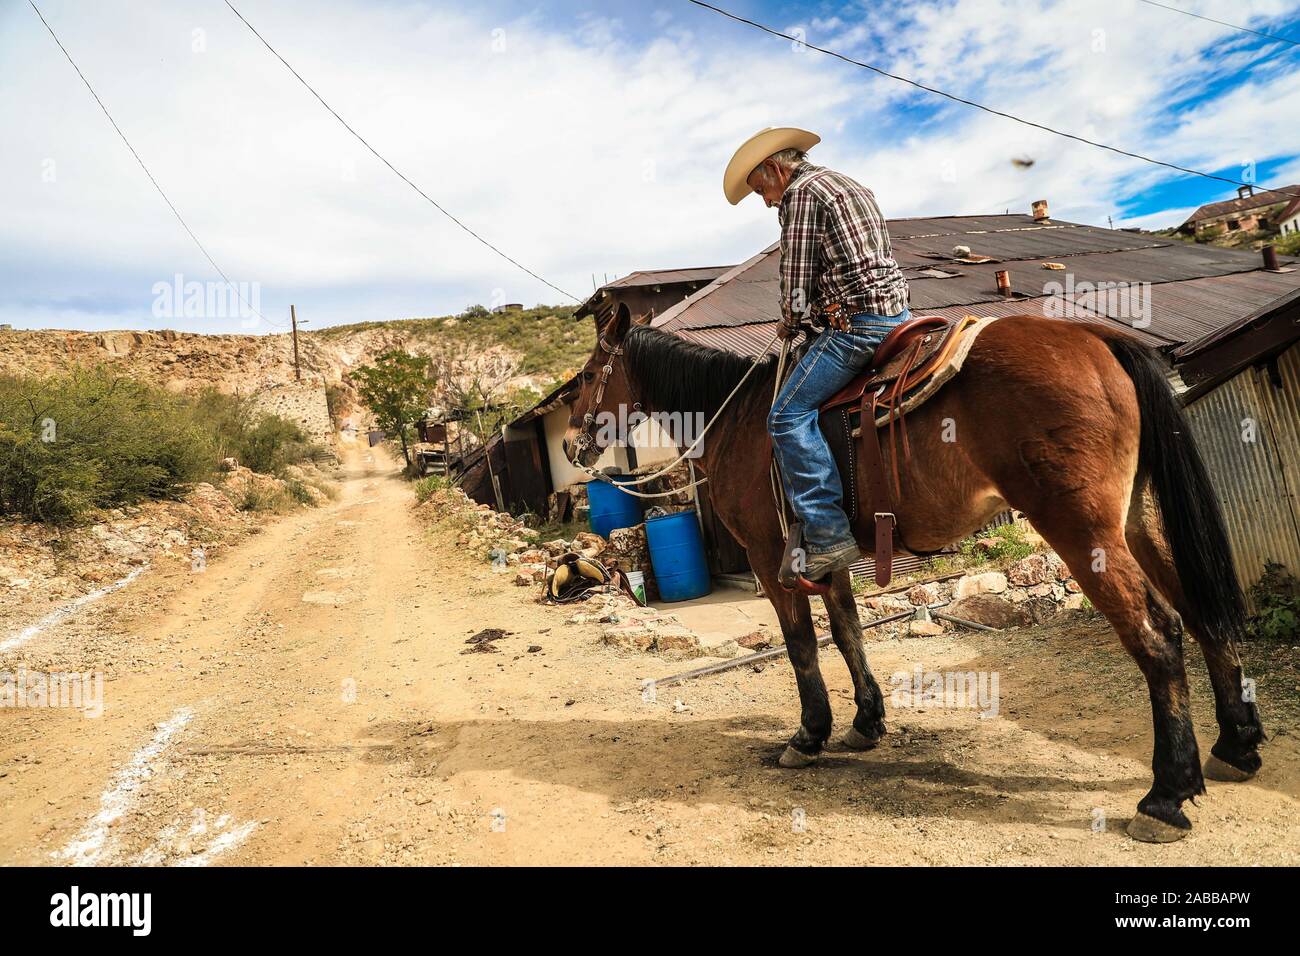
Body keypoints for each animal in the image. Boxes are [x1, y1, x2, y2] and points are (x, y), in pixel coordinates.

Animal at [564, 308, 1263, 842]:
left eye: (591, 374)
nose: (571, 444)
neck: (736, 420)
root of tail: (1096, 339)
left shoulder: (770, 558)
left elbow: (800, 646)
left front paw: (808, 735)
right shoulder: (827, 557)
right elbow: (849, 634)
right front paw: (865, 724)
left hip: (1083, 532)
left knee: (1159, 636)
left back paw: (1165, 797)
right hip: (1138, 520)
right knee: (1200, 613)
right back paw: (1235, 744)